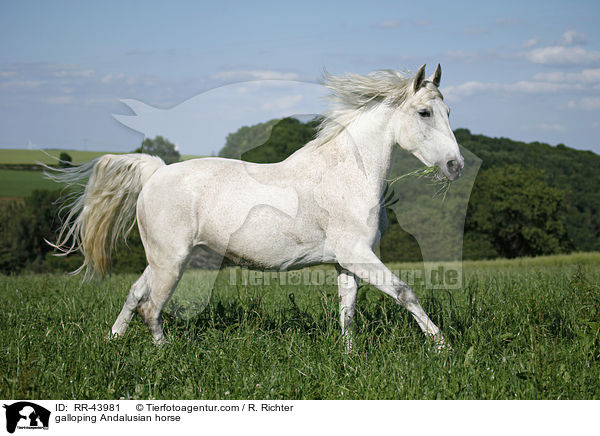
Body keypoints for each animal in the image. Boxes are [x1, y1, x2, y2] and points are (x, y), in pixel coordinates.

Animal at [50, 63, 464, 350]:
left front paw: (350, 359)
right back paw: (164, 352)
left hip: (161, 259)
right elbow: (405, 292)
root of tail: (156, 172)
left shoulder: (347, 261)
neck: (346, 175)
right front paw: (443, 346)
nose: (455, 166)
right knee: (150, 307)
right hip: (171, 260)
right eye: (425, 113)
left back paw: (113, 340)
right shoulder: (358, 254)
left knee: (135, 294)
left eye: (449, 112)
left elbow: (347, 314)